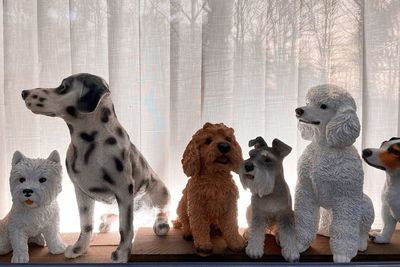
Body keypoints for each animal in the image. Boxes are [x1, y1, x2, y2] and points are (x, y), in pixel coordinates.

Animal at [21, 74, 170, 264]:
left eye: (63, 87)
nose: (24, 92)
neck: (89, 143)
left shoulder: (123, 190)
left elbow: (125, 227)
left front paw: (122, 253)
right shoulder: (80, 191)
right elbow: (85, 225)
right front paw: (79, 249)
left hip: (160, 191)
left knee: (162, 211)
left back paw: (160, 223)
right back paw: (106, 220)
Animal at [173, 123, 245, 255]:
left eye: (228, 139)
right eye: (208, 140)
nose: (224, 146)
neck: (215, 178)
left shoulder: (230, 206)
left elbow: (231, 226)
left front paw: (236, 243)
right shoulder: (197, 207)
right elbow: (199, 226)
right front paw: (203, 245)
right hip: (181, 206)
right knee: (184, 222)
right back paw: (187, 232)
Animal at [294, 85, 376, 262]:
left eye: (323, 106)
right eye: (307, 102)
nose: (298, 110)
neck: (324, 147)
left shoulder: (347, 196)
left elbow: (345, 228)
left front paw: (343, 254)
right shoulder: (305, 190)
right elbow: (304, 219)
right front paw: (299, 243)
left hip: (365, 204)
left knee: (363, 230)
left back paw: (360, 243)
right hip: (327, 212)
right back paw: (324, 232)